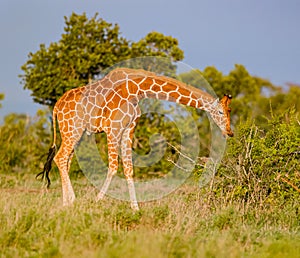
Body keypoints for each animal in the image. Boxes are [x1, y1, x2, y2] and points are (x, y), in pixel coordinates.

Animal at [37, 67, 233, 211]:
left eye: (229, 111)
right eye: (220, 112)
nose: (230, 132)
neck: (137, 89)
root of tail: (57, 106)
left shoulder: (128, 129)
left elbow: (129, 169)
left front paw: (135, 208)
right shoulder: (113, 128)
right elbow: (113, 167)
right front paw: (97, 200)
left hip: (73, 132)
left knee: (66, 160)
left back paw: (67, 202)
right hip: (72, 129)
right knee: (60, 157)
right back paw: (72, 201)